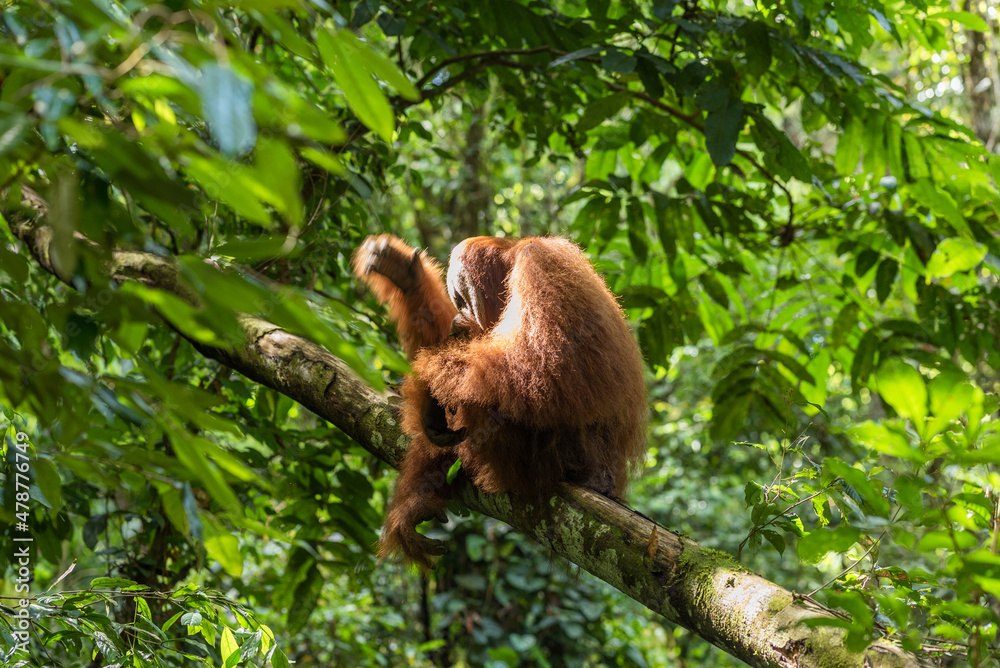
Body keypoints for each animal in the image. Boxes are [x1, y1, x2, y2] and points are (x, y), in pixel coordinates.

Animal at [353, 234, 646, 568]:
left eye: (464, 300)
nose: (460, 317)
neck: (514, 257)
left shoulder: (541, 265)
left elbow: (548, 368)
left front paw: (428, 385)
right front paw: (403, 274)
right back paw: (418, 496)